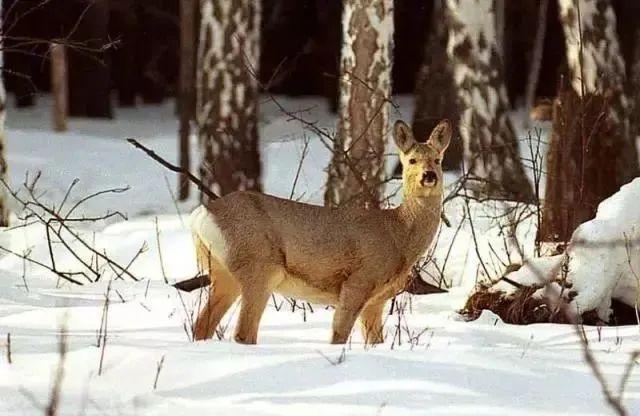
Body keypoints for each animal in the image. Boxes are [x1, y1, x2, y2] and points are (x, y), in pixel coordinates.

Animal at [190, 118, 450, 342]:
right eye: (412, 160)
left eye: (438, 160)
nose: (429, 175)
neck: (398, 232)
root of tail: (201, 214)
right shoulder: (358, 281)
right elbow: (338, 335)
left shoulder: (377, 300)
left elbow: (375, 342)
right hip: (260, 266)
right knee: (243, 333)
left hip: (223, 272)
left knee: (202, 325)